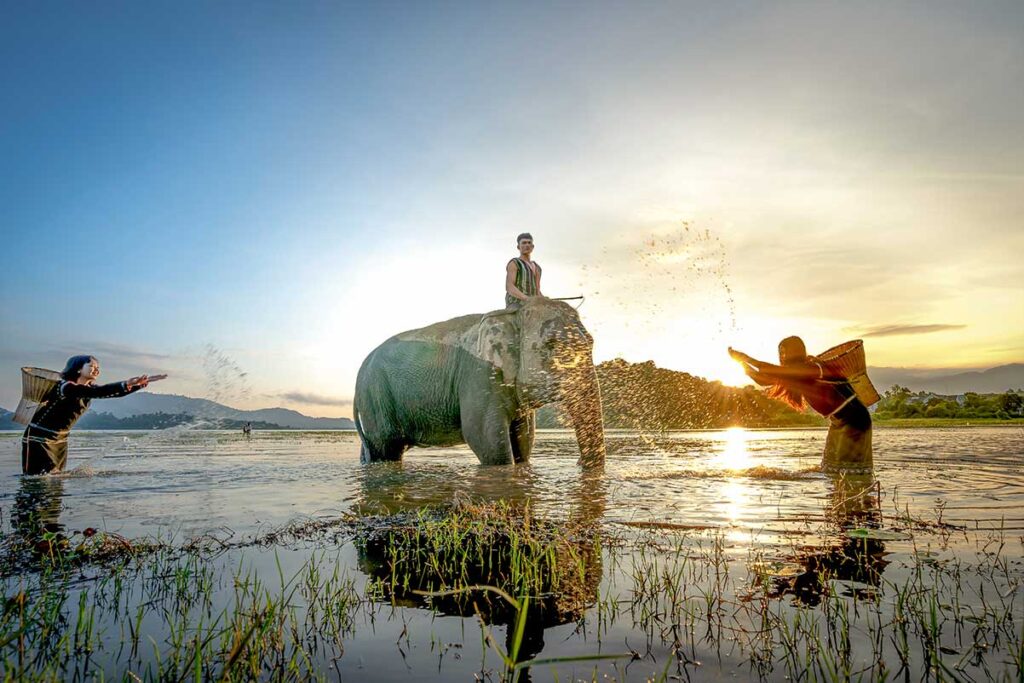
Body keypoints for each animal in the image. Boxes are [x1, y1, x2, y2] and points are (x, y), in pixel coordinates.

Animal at [353, 297, 606, 467]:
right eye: (551, 345)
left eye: (592, 343)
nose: (578, 463)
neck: (511, 315)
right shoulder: (479, 375)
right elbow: (485, 439)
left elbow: (524, 440)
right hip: (375, 397)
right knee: (386, 448)